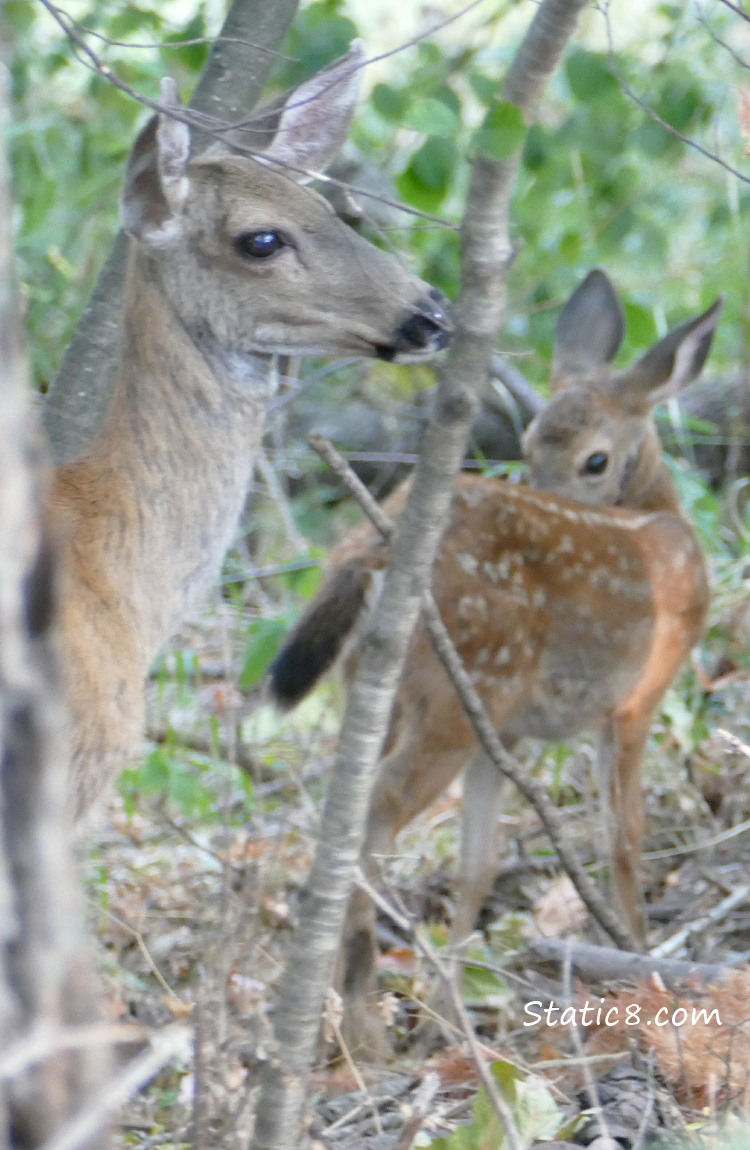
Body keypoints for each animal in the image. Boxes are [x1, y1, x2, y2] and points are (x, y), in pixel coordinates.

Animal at [269, 266, 722, 1053]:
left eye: (591, 457)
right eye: (533, 442)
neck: (662, 521)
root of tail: (367, 549)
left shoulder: (503, 732)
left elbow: (476, 865)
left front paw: (452, 1015)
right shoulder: (636, 697)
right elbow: (623, 835)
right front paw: (640, 954)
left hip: (391, 691)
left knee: (340, 808)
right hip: (460, 687)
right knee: (373, 818)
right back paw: (363, 1023)